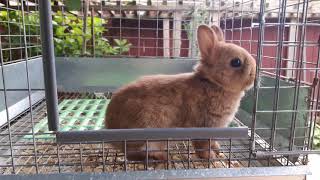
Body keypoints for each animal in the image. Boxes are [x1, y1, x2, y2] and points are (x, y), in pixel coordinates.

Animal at [106, 23, 256, 160]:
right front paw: (210, 156)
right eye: (236, 62)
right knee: (134, 155)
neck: (213, 83)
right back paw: (160, 156)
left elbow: (212, 143)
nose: (254, 73)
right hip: (146, 136)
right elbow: (202, 146)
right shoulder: (204, 126)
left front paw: (217, 149)